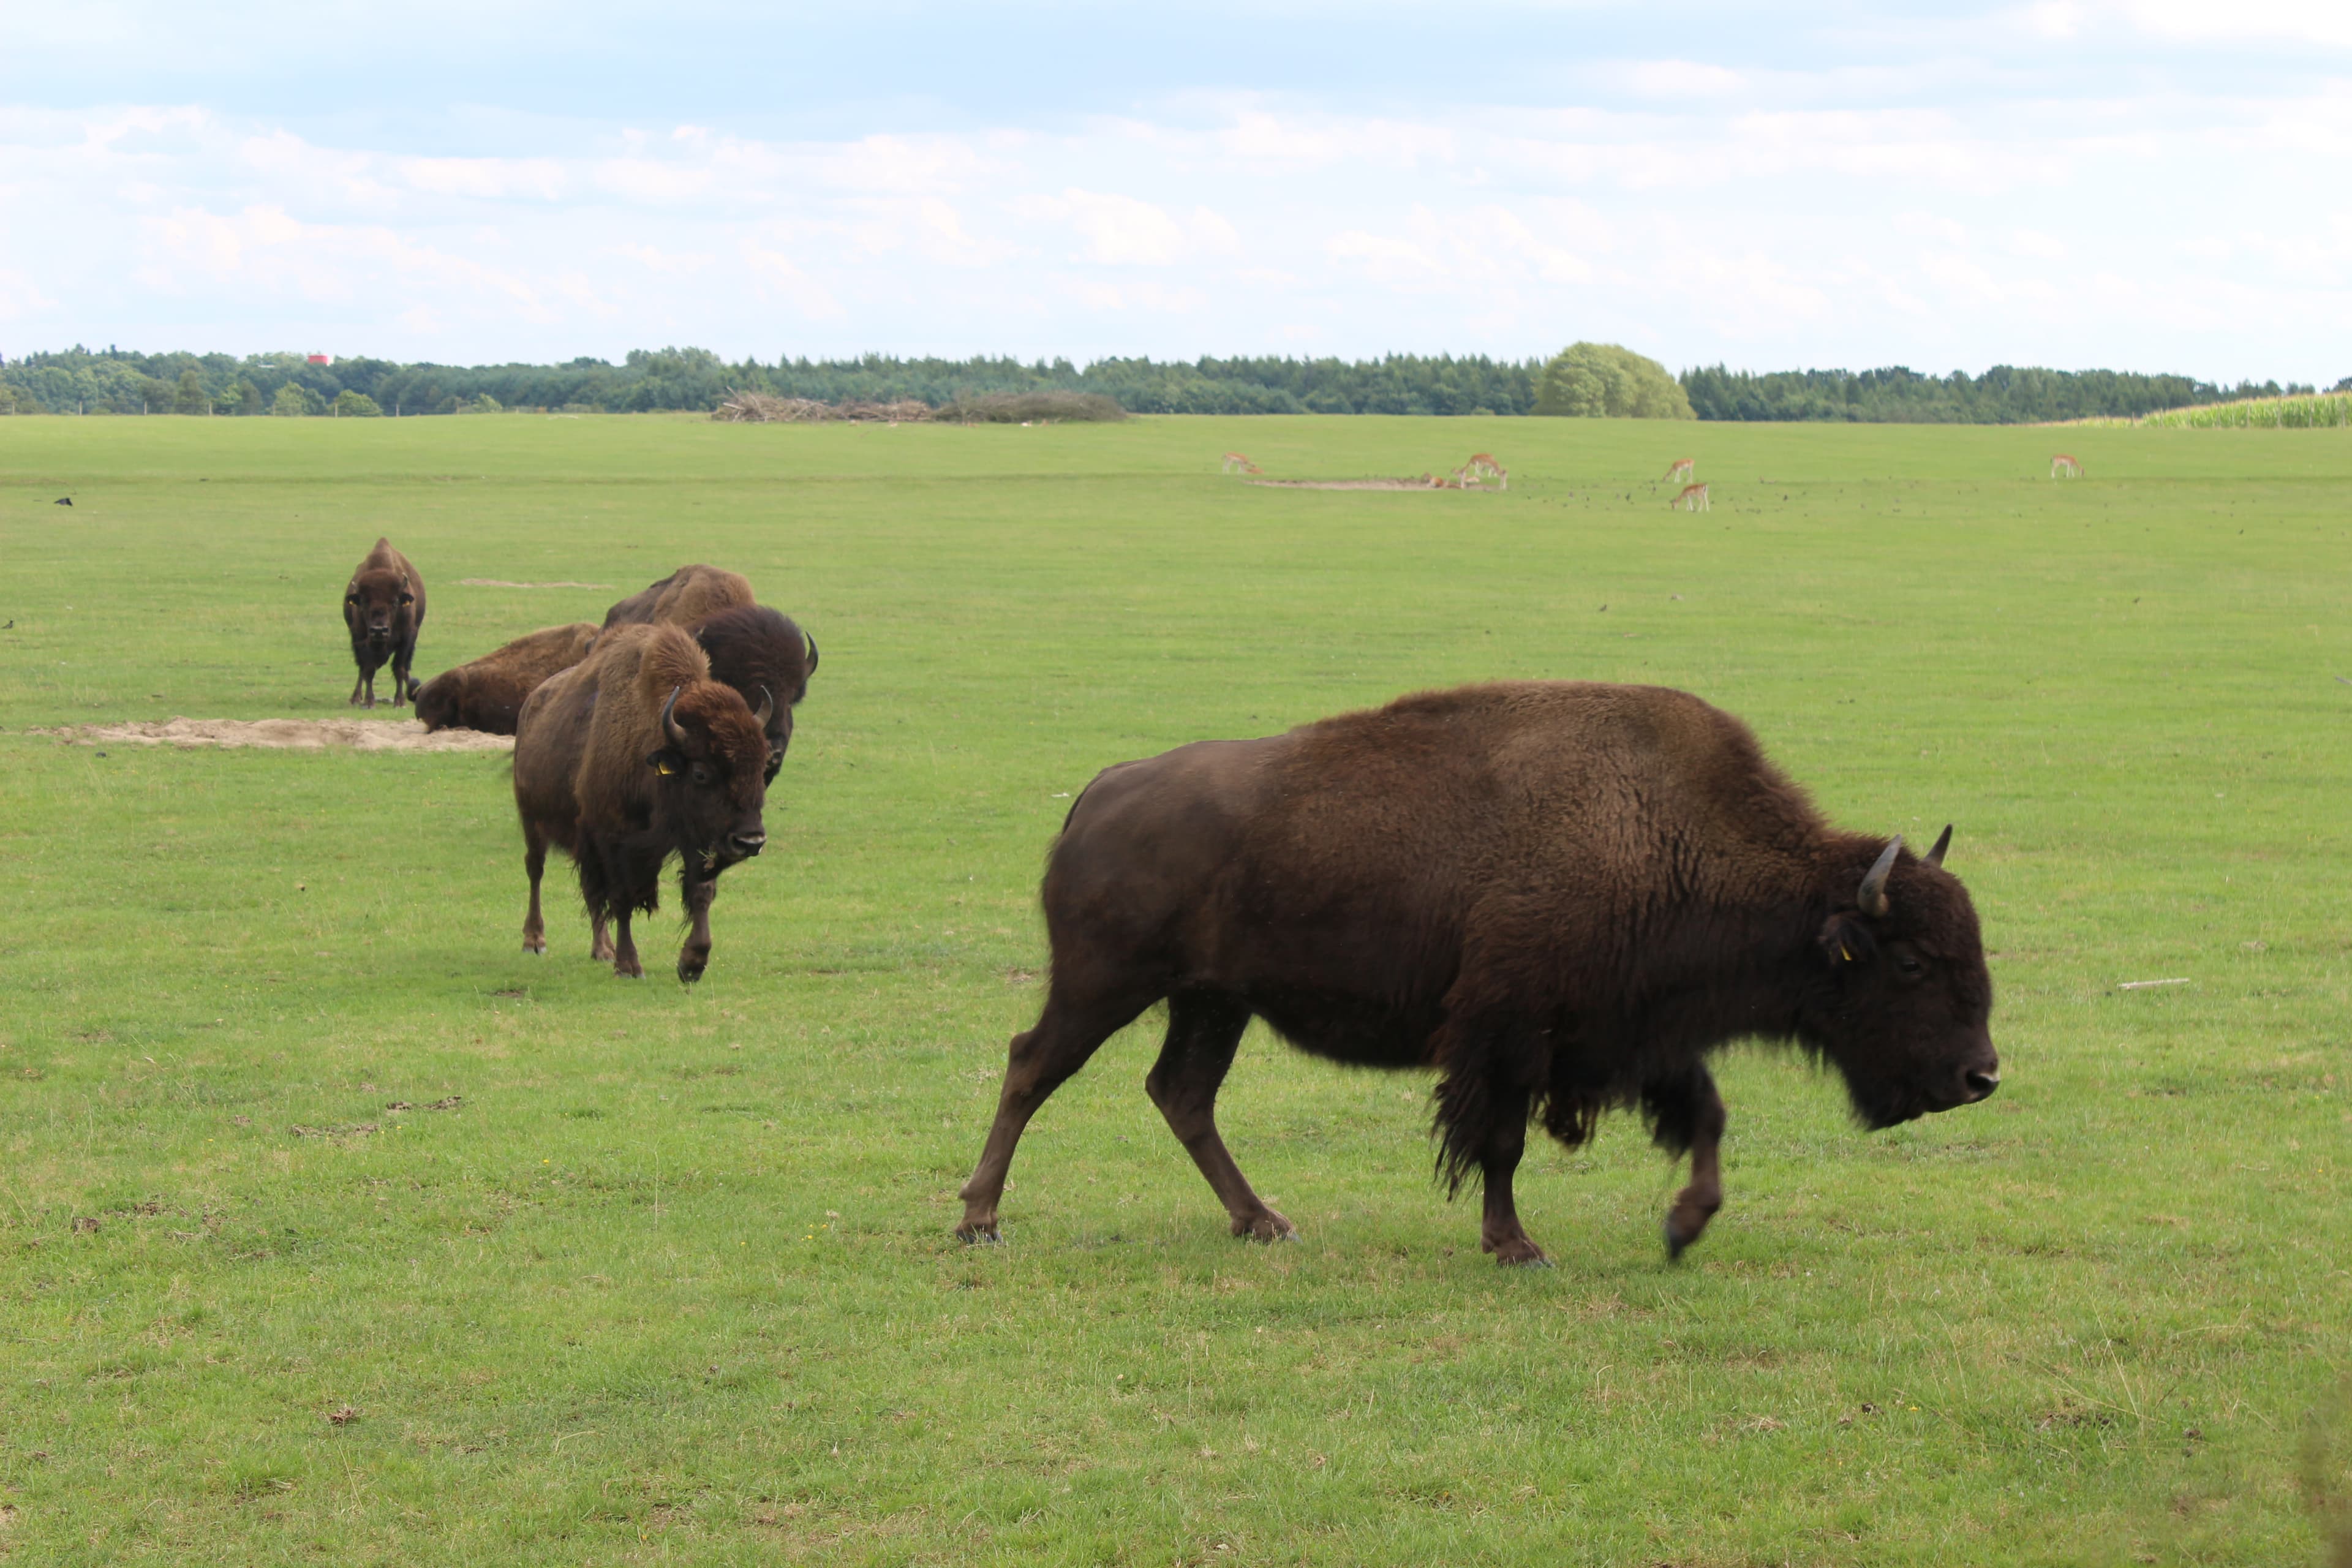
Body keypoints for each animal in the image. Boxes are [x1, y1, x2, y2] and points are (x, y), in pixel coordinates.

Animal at [341, 540, 428, 710]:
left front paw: (400, 702)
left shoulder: (407, 639)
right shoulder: (360, 639)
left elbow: (399, 668)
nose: (379, 631)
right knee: (361, 669)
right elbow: (368, 669)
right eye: (364, 602)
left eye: (395, 602)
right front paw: (369, 702)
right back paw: (356, 698)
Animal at [513, 620, 771, 982]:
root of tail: (532, 703)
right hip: (532, 818)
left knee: (591, 893)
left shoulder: (695, 840)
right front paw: (629, 966)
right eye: (701, 773)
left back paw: (602, 950)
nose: (750, 841)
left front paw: (692, 963)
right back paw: (535, 941)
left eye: (761, 767)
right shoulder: (612, 841)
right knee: (536, 869)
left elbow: (701, 893)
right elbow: (622, 899)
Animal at [955, 682, 2003, 1260]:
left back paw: (1265, 1223)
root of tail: (1103, 790)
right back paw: (979, 1222)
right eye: (1911, 961)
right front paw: (1516, 1245)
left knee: (1182, 1094)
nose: (1981, 1076)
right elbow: (1499, 1142)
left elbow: (1703, 1118)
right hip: (1105, 986)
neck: (1668, 833)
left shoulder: (1636, 1033)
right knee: (1030, 1067)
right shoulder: (1510, 1033)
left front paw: (1684, 1226)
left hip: (1211, 1003)